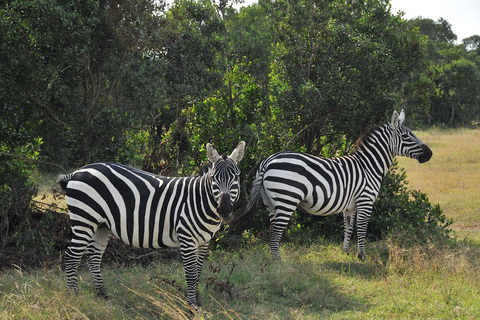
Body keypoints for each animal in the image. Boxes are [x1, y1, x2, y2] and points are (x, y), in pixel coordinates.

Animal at [58, 142, 246, 308]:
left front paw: (197, 304)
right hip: (84, 220)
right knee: (72, 256)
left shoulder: (204, 241)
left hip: (102, 226)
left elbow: (198, 272)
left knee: (94, 257)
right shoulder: (187, 238)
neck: (199, 200)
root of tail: (77, 172)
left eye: (236, 177)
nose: (225, 209)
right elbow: (191, 274)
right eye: (214, 179)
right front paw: (192, 307)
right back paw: (73, 297)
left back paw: (103, 296)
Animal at [244, 110, 432, 260]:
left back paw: (274, 258)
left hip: (270, 202)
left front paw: (345, 252)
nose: (429, 154)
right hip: (287, 199)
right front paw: (361, 256)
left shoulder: (350, 207)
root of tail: (268, 160)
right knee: (276, 231)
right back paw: (278, 261)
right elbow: (362, 229)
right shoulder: (365, 202)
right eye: (406, 136)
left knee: (271, 230)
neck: (368, 167)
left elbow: (348, 229)